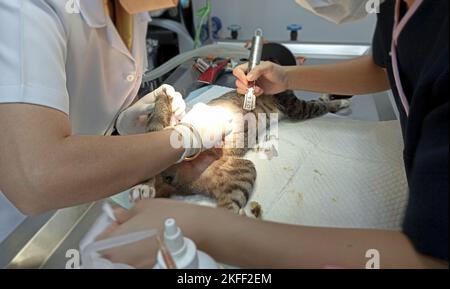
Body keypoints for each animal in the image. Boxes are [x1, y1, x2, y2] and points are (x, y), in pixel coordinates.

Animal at [132, 90, 350, 214]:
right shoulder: (296, 106)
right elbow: (318, 105)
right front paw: (338, 103)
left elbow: (320, 99)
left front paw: (335, 98)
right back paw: (142, 187)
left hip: (237, 173)